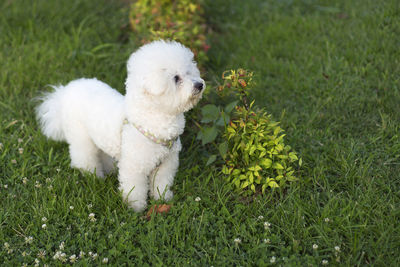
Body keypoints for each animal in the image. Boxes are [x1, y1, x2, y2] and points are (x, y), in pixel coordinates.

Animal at [36, 40, 205, 213]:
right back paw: (93, 175)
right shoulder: (134, 167)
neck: (152, 121)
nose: (200, 85)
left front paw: (163, 198)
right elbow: (135, 189)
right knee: (84, 156)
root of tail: (63, 92)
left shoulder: (166, 164)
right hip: (80, 135)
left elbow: (161, 183)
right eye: (176, 78)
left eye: (189, 72)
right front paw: (135, 208)